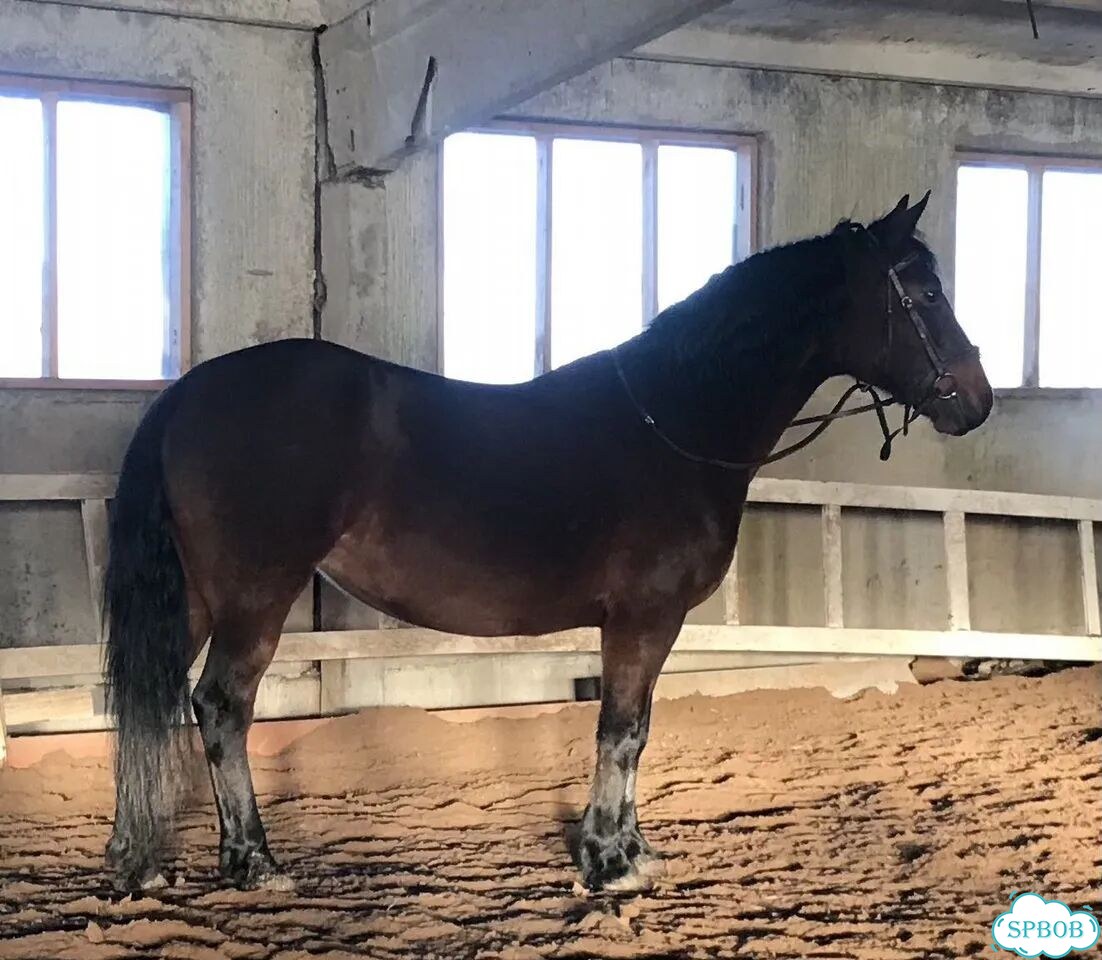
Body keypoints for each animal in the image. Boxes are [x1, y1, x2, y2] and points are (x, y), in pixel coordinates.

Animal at [102, 192, 992, 894]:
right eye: (927, 291)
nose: (975, 400)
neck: (676, 421)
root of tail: (189, 393)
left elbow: (636, 729)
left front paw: (631, 848)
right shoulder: (644, 618)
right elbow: (622, 730)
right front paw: (608, 860)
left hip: (199, 597)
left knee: (153, 701)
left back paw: (139, 856)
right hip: (256, 597)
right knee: (223, 707)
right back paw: (253, 862)